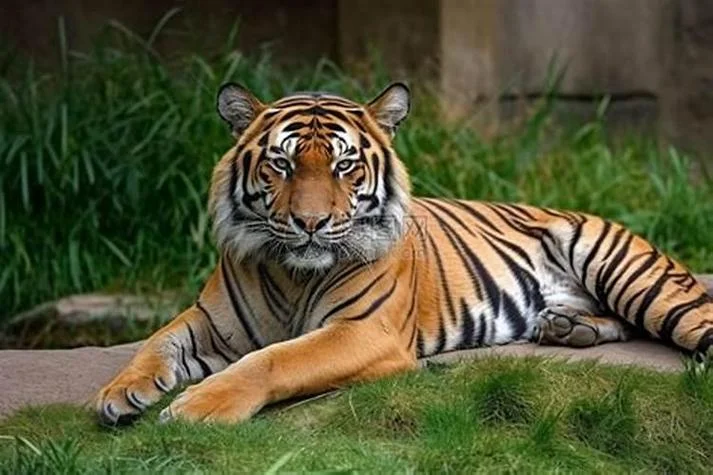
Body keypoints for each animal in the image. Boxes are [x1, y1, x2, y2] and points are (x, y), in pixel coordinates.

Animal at [96, 82, 713, 425]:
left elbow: (273, 359)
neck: (295, 274)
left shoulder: (363, 331)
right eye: (283, 164)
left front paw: (193, 408)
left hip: (634, 277)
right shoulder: (210, 319)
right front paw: (120, 393)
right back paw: (567, 328)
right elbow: (157, 343)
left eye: (344, 165)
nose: (311, 224)